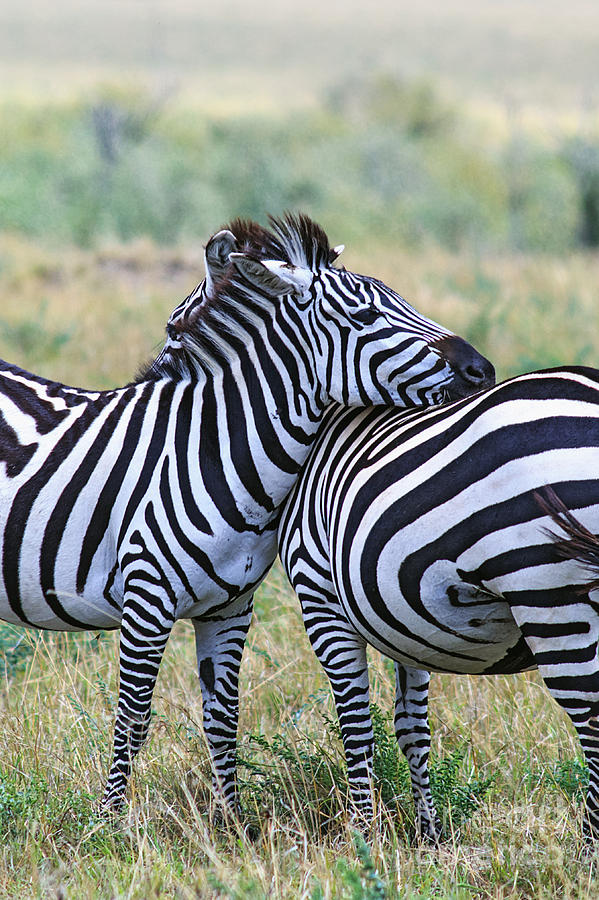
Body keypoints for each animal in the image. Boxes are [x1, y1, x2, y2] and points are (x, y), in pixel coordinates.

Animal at [0, 213, 494, 816]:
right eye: (365, 317)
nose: (482, 369)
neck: (216, 452)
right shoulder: (146, 598)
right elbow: (133, 719)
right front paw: (109, 823)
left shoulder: (229, 607)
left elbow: (223, 717)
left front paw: (230, 824)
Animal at [280, 366, 599, 844]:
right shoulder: (406, 624)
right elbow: (411, 727)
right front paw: (428, 838)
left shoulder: (319, 593)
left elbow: (356, 726)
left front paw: (363, 838)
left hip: (552, 598)